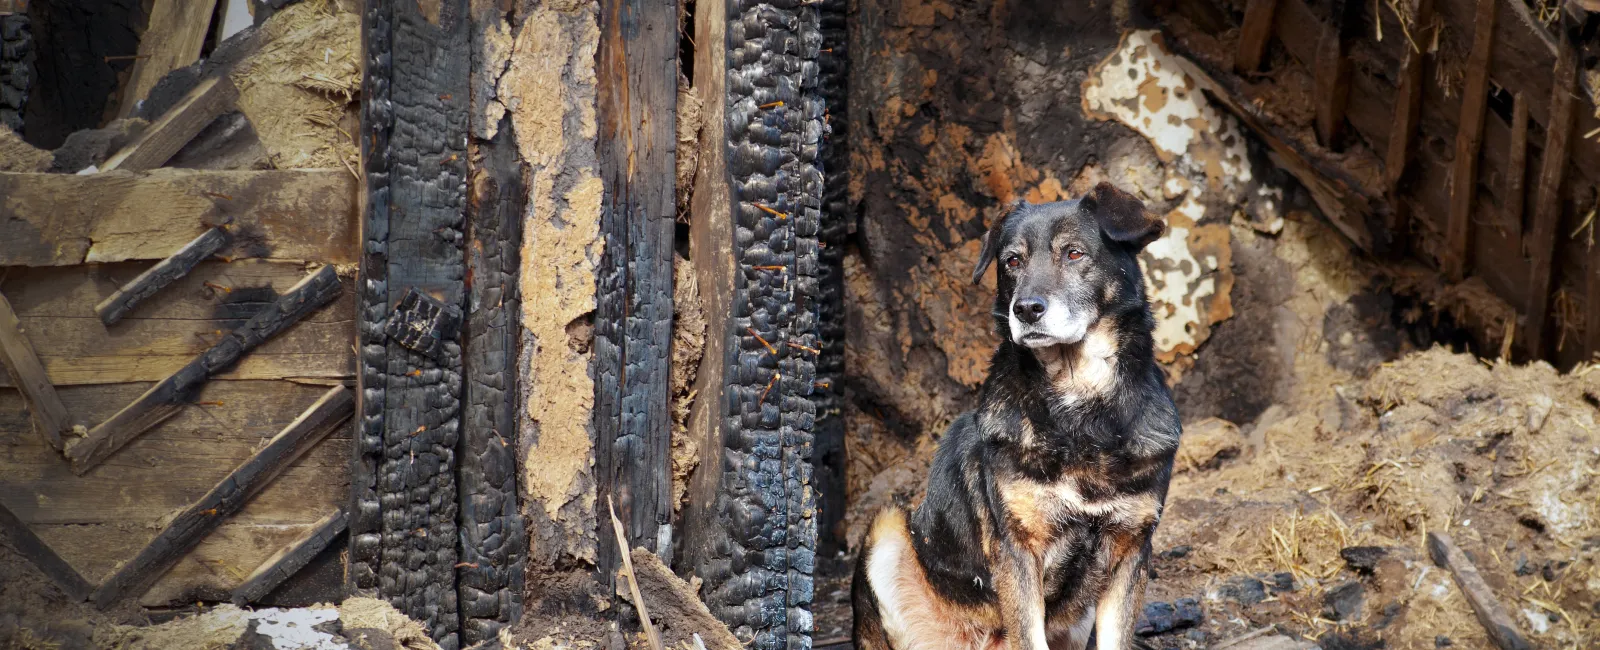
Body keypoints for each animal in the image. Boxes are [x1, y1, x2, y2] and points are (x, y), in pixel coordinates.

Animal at [857, 182, 1184, 650]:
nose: (1026, 309)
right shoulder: (1017, 553)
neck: (1079, 408)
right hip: (886, 530)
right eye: (1012, 261)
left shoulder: (1131, 552)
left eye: (1074, 253)